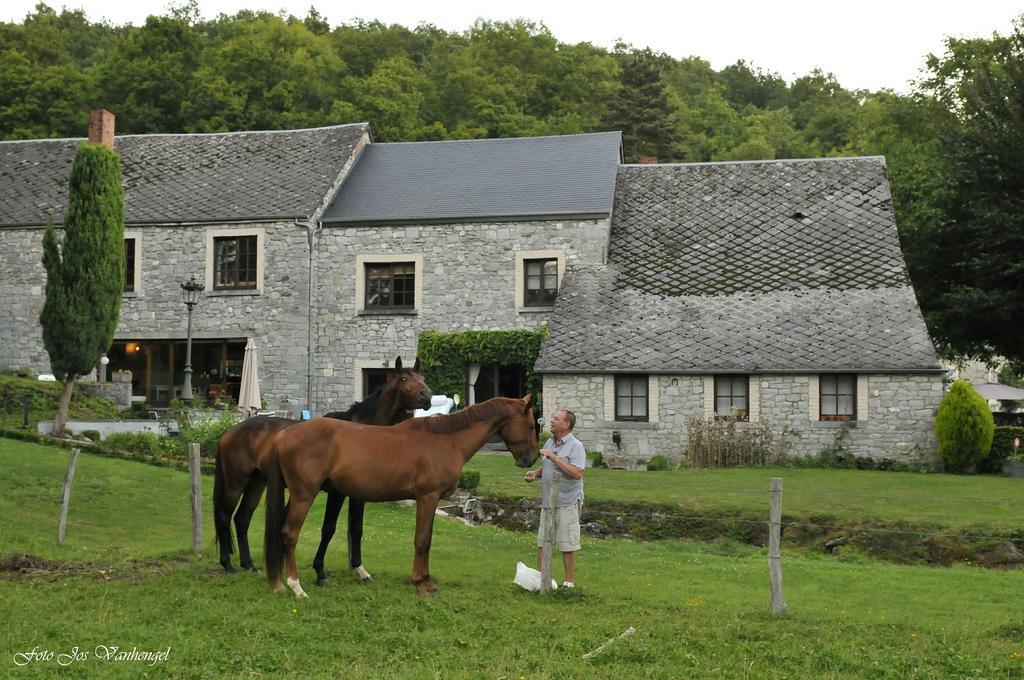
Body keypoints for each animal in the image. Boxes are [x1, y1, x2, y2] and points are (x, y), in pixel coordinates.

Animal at [211, 356, 428, 585]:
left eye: (423, 378)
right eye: (404, 379)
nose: (427, 396)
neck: (361, 431)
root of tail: (229, 432)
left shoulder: (358, 495)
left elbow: (356, 529)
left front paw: (361, 570)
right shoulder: (337, 493)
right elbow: (328, 529)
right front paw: (320, 572)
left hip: (256, 484)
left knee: (242, 519)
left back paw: (249, 564)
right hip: (235, 483)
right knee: (224, 516)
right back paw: (227, 564)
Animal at [264, 395, 540, 598]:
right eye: (529, 425)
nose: (531, 459)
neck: (447, 440)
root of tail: (283, 435)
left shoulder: (431, 500)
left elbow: (427, 540)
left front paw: (427, 580)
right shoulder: (428, 497)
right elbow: (422, 541)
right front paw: (421, 583)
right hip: (304, 495)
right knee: (289, 534)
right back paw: (296, 586)